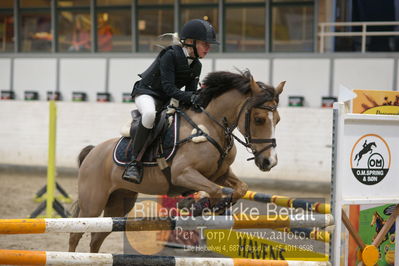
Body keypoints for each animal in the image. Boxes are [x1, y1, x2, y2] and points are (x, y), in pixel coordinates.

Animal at [69, 70, 284, 251]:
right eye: (259, 119)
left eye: (278, 119)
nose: (269, 162)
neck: (211, 127)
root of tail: (93, 152)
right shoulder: (182, 173)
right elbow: (215, 190)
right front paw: (197, 205)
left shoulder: (220, 173)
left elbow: (239, 188)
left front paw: (202, 204)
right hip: (93, 203)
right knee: (75, 234)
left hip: (121, 200)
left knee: (97, 238)